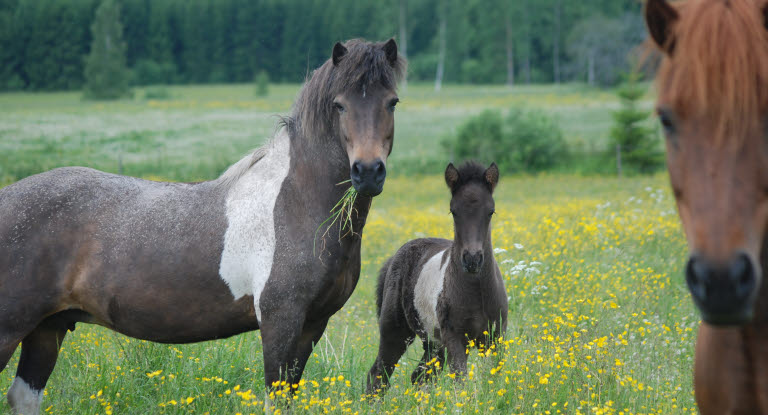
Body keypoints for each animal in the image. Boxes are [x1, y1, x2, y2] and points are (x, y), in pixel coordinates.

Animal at [0, 39, 404, 415]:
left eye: (392, 102)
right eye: (339, 105)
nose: (368, 172)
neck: (296, 202)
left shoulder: (312, 325)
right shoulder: (281, 320)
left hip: (47, 328)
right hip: (11, 328)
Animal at [368, 161, 510, 394]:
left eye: (491, 211)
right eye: (453, 211)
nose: (472, 259)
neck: (477, 292)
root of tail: (394, 258)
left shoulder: (496, 337)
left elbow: (494, 379)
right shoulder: (454, 338)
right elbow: (460, 383)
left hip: (432, 343)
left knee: (419, 377)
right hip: (395, 332)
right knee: (378, 375)